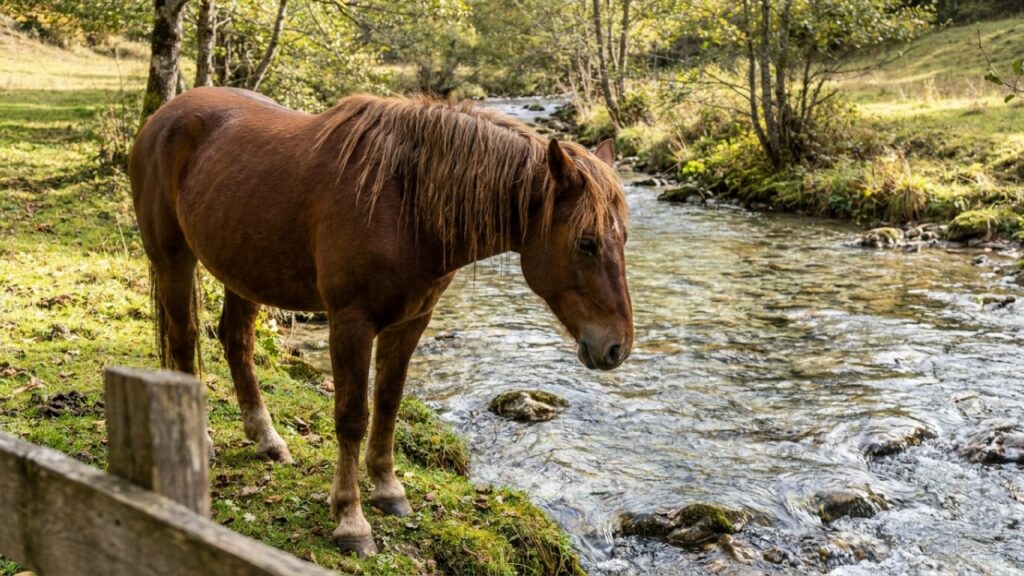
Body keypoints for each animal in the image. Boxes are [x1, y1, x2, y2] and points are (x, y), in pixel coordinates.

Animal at [129, 87, 633, 556]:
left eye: (623, 237)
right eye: (586, 242)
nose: (617, 347)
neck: (404, 203)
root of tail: (165, 114)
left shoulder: (411, 322)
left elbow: (388, 403)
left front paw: (388, 489)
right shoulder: (351, 322)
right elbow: (352, 416)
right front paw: (351, 521)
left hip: (243, 271)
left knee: (237, 342)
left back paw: (268, 440)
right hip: (173, 259)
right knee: (183, 340)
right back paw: (202, 441)